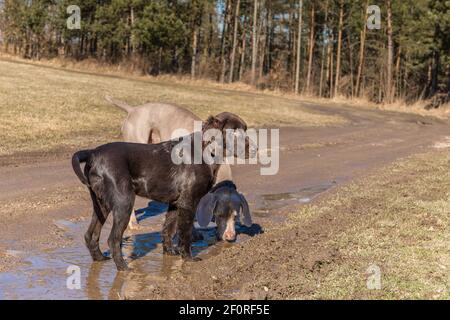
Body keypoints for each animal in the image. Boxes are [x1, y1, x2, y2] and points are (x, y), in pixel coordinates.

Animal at [73, 112, 256, 270]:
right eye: (235, 132)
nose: (254, 150)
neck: (206, 151)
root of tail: (93, 153)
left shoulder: (175, 203)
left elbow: (168, 229)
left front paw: (169, 253)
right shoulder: (188, 202)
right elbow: (184, 233)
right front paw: (188, 258)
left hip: (101, 204)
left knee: (90, 235)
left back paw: (100, 258)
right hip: (123, 202)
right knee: (113, 239)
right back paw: (124, 268)